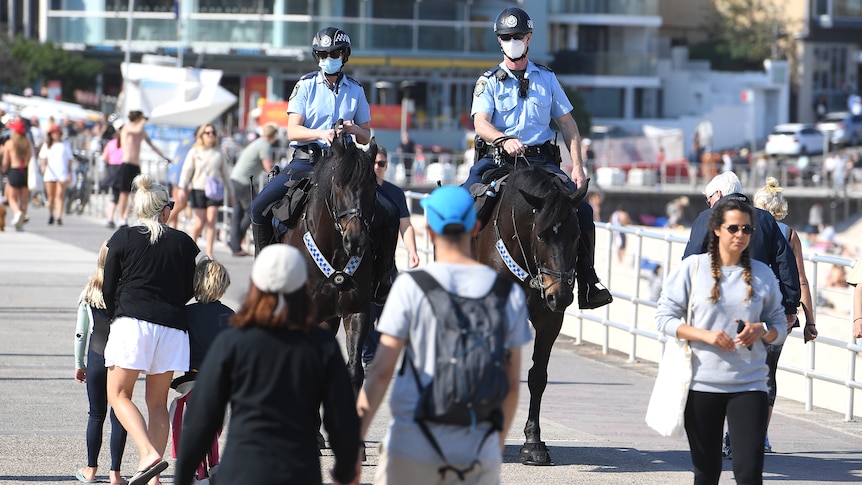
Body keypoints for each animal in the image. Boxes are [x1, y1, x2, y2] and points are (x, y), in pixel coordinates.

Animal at [472, 165, 588, 466]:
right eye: (541, 235)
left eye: (577, 235)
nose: (560, 295)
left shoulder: (549, 320)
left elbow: (537, 377)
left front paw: (533, 442)